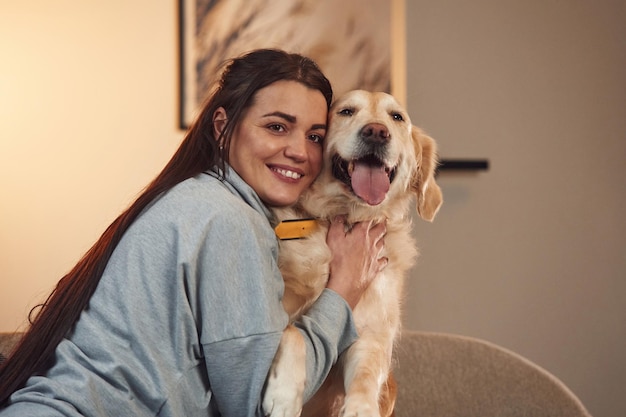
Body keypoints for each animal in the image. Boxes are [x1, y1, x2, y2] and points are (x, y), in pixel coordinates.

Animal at [262, 91, 438, 416]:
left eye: (397, 117)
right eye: (346, 111)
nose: (376, 132)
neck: (346, 216)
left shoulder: (372, 332)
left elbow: (367, 373)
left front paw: (361, 407)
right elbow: (293, 332)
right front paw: (284, 395)